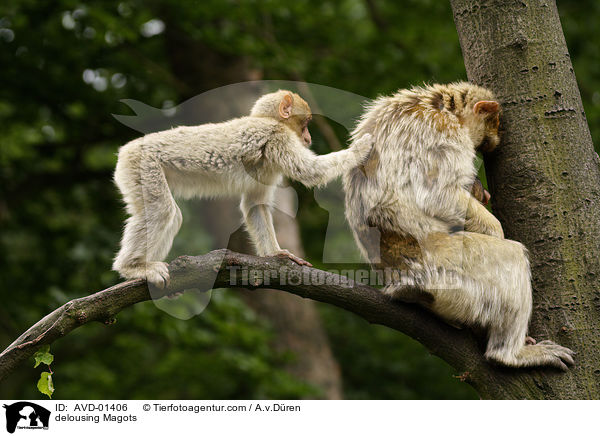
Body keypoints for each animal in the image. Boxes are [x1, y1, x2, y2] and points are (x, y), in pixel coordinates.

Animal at [112, 90, 372, 288]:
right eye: (306, 123)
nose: (308, 139)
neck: (269, 121)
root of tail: (127, 150)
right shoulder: (279, 138)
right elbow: (310, 172)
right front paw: (361, 148)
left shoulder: (270, 164)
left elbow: (255, 204)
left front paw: (275, 254)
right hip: (142, 165)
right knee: (162, 210)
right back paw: (134, 267)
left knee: (172, 215)